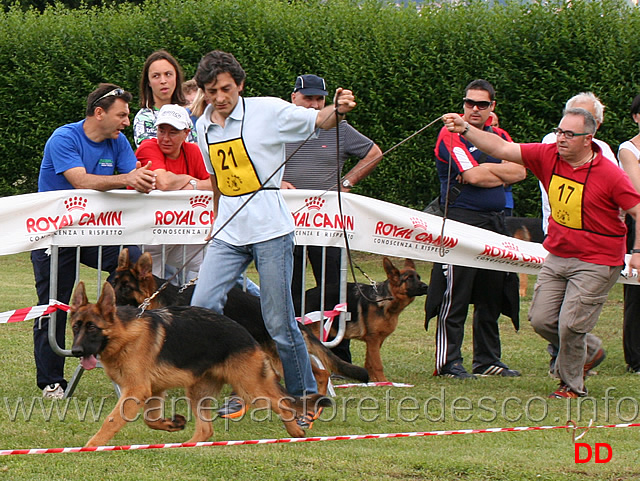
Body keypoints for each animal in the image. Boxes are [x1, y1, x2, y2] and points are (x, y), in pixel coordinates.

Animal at [70, 282, 330, 446]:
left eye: (92, 328)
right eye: (75, 327)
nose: (75, 351)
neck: (123, 335)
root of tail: (247, 335)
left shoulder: (136, 391)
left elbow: (111, 420)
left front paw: (91, 446)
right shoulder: (153, 390)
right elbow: (150, 420)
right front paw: (172, 424)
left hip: (252, 389)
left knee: (284, 404)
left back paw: (296, 431)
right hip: (198, 391)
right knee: (206, 429)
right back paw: (187, 445)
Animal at [298, 256, 428, 384]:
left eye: (418, 277)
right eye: (409, 278)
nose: (426, 287)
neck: (385, 299)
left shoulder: (376, 341)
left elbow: (369, 362)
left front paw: (373, 381)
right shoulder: (373, 339)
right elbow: (377, 364)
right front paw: (383, 382)